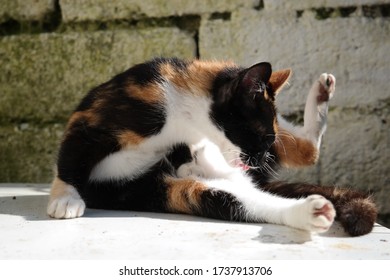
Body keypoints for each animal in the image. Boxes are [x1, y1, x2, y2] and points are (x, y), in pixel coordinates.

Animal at [47, 57, 376, 236]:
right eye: (262, 137)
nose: (261, 159)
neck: (183, 118)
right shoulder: (95, 116)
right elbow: (72, 154)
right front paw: (65, 198)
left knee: (306, 152)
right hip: (163, 189)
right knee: (238, 200)